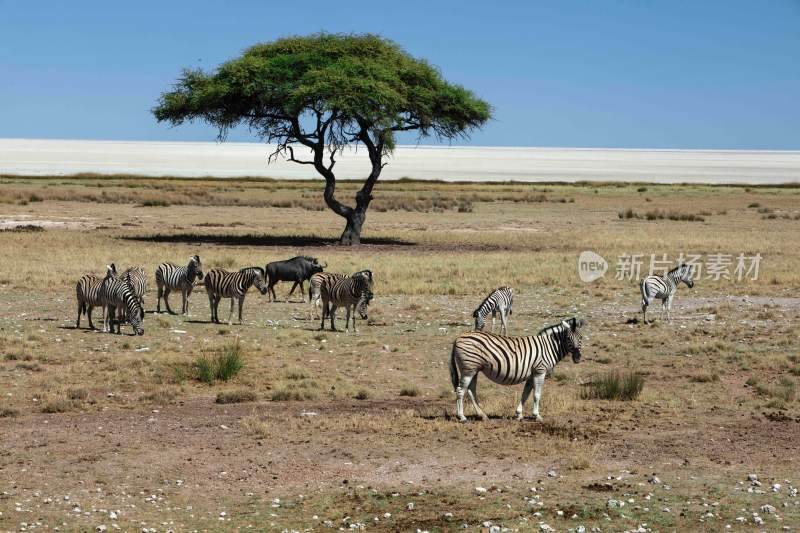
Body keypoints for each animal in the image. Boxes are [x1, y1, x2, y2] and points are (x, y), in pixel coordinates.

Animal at [446, 316, 584, 424]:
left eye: (581, 338)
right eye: (568, 338)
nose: (577, 358)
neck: (548, 346)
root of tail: (459, 337)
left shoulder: (532, 373)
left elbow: (526, 393)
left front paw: (519, 414)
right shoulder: (540, 370)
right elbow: (537, 394)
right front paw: (537, 415)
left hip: (474, 369)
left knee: (471, 390)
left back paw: (482, 415)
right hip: (468, 369)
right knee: (460, 390)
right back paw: (462, 417)